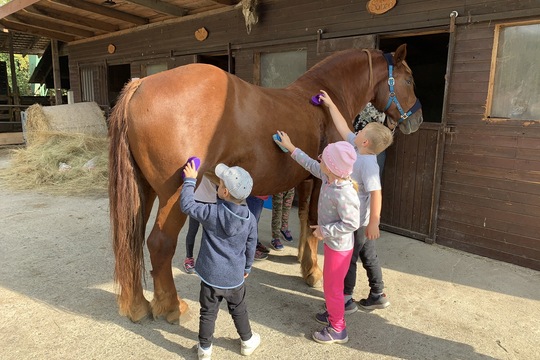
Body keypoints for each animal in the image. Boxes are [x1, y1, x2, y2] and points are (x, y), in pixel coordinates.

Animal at [108, 43, 422, 322]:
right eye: (409, 79)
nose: (417, 120)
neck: (323, 101)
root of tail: (141, 84)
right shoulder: (321, 179)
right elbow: (314, 221)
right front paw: (313, 272)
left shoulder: (305, 178)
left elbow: (304, 217)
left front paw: (304, 261)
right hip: (172, 195)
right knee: (159, 244)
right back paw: (173, 308)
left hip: (145, 191)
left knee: (132, 241)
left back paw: (138, 306)